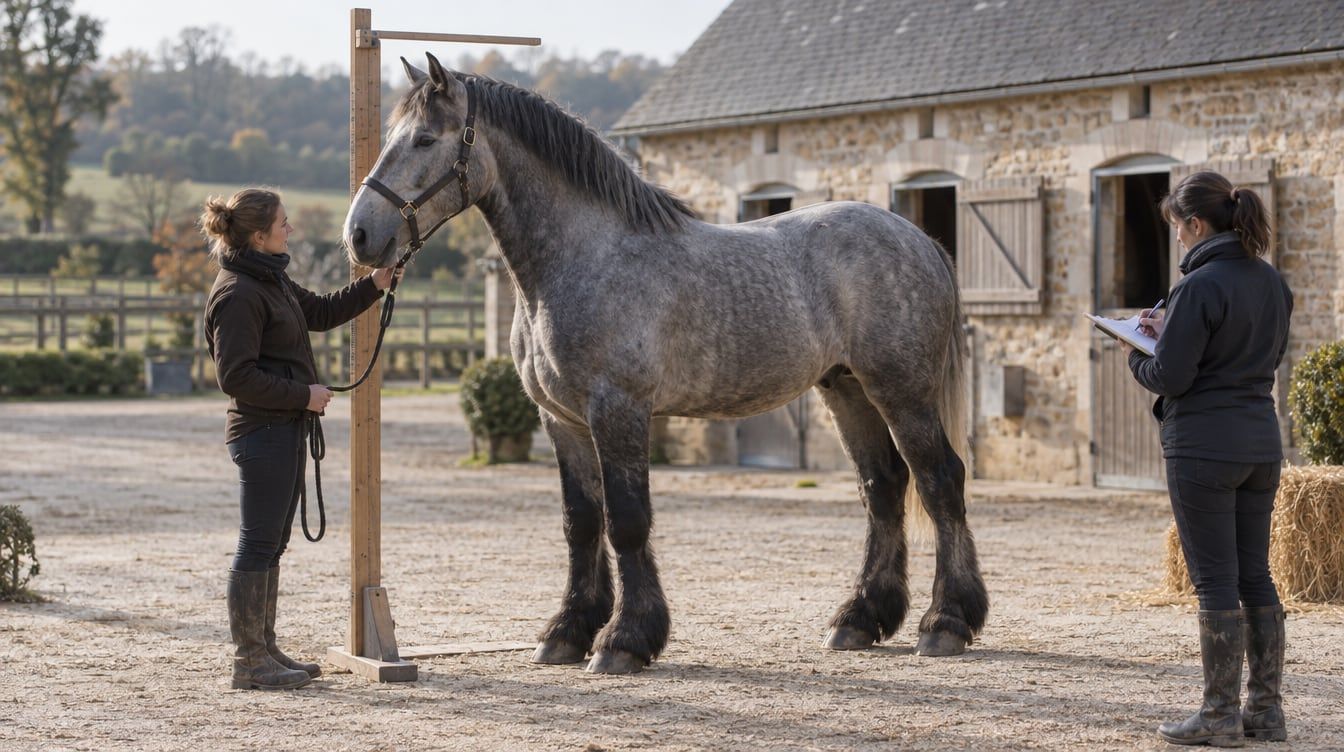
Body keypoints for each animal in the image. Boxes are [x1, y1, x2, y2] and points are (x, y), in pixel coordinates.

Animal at [343, 53, 989, 675]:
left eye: (425, 139)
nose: (360, 235)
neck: (584, 258)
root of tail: (921, 240)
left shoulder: (619, 410)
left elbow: (627, 519)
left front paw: (624, 640)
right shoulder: (562, 420)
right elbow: (582, 522)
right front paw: (567, 631)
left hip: (901, 391)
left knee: (940, 481)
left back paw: (947, 623)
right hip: (847, 390)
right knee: (883, 488)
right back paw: (859, 619)